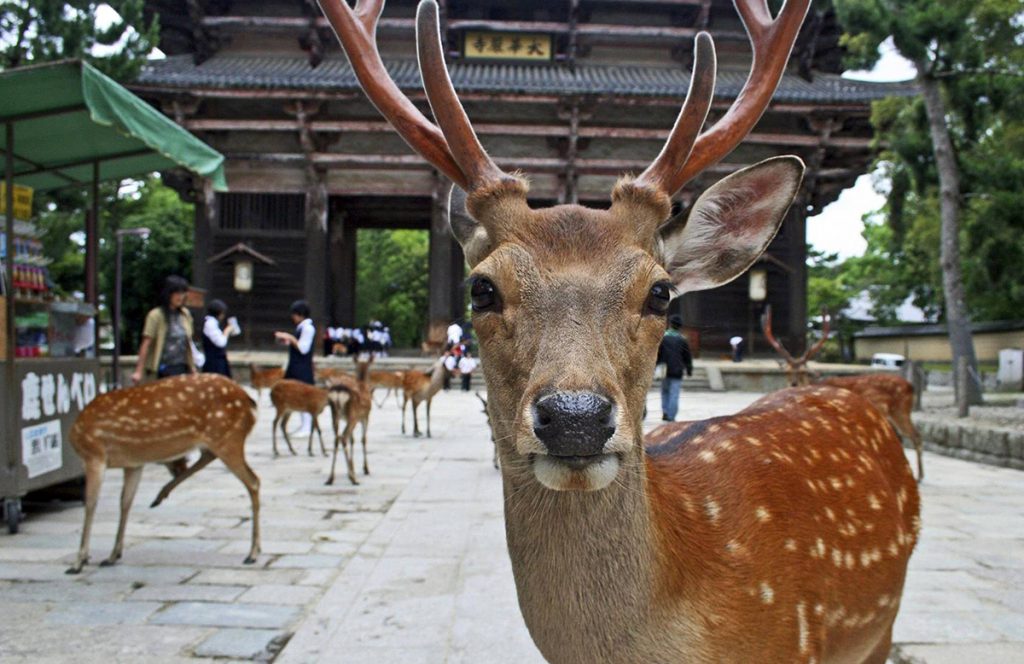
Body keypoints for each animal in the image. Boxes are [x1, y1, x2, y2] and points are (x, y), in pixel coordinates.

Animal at [66, 377, 262, 573]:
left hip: (227, 438)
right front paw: (112, 555)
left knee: (253, 481)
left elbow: (91, 504)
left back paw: (252, 553)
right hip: (219, 440)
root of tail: (250, 403)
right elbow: (125, 502)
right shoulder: (133, 464)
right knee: (208, 458)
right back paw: (160, 495)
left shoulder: (94, 454)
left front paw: (78, 562)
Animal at [761, 303, 929, 479]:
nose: (793, 384)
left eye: (803, 371)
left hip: (900, 411)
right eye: (786, 371)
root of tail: (911, 387)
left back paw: (920, 476)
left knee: (915, 436)